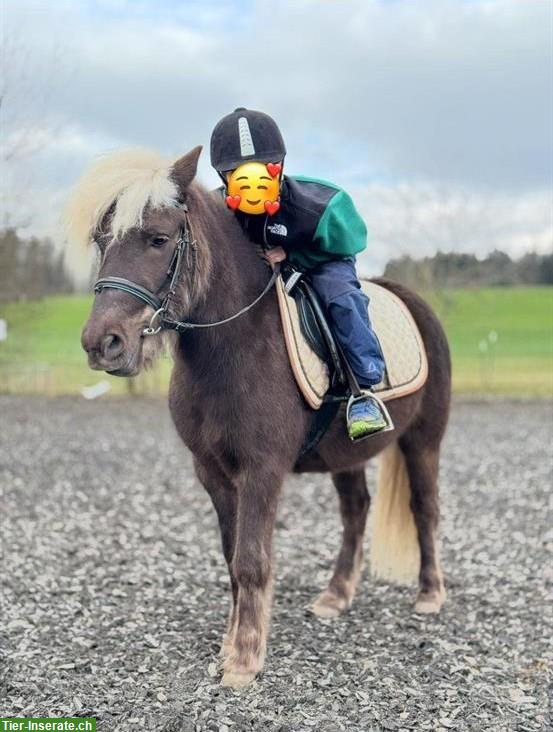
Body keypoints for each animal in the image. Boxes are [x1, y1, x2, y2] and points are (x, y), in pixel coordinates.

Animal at [66, 145, 451, 689]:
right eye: (103, 241)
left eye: (159, 239)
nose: (102, 343)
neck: (233, 345)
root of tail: (414, 301)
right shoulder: (212, 472)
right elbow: (232, 560)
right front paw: (230, 646)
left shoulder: (262, 470)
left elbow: (251, 560)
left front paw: (245, 660)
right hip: (348, 455)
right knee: (356, 511)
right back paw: (335, 596)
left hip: (423, 439)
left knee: (425, 508)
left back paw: (429, 594)